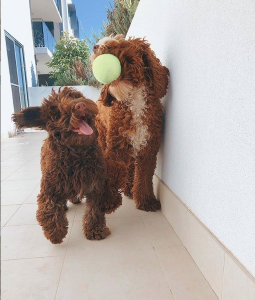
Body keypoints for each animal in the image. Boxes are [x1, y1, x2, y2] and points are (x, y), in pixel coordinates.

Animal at [12, 86, 118, 244]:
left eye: (76, 96)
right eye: (56, 110)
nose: (80, 105)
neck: (77, 153)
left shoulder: (95, 184)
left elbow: (94, 209)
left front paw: (95, 230)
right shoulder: (50, 186)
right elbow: (49, 207)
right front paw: (55, 232)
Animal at [90, 35, 170, 212]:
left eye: (119, 44)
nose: (95, 46)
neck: (135, 100)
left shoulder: (148, 148)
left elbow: (145, 176)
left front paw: (146, 200)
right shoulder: (116, 147)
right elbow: (112, 173)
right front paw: (106, 201)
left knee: (131, 167)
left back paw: (129, 189)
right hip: (103, 135)